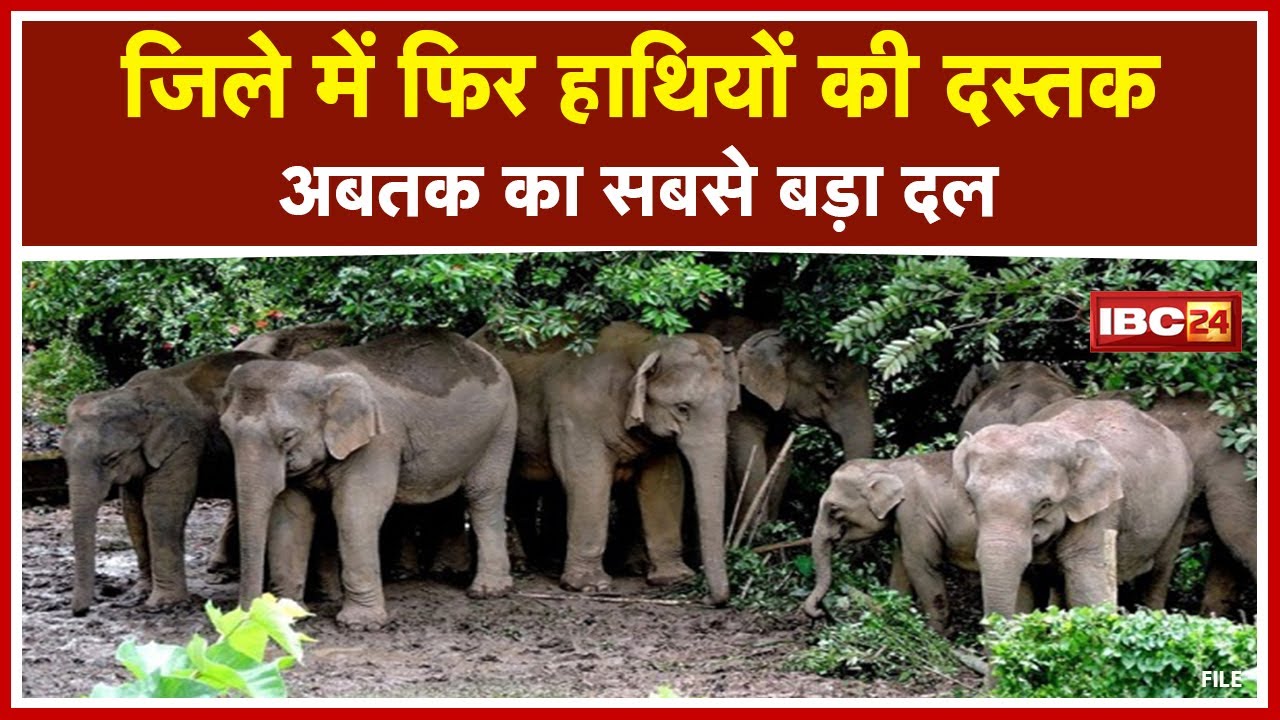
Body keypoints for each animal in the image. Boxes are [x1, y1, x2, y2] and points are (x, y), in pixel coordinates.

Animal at [63, 350, 269, 615]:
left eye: (112, 458)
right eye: (63, 456)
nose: (80, 611)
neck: (137, 396)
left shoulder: (182, 446)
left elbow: (160, 510)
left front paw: (162, 604)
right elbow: (133, 514)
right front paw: (138, 594)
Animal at [219, 328, 517, 629]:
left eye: (288, 437)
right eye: (225, 432)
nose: (244, 618)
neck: (320, 374)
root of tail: (481, 350)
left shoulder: (378, 441)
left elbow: (355, 510)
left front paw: (361, 624)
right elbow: (290, 514)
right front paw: (288, 618)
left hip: (501, 427)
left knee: (482, 494)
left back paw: (487, 591)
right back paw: (443, 574)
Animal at [475, 322, 738, 604]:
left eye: (729, 408)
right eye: (682, 408)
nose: (710, 599)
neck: (645, 345)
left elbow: (665, 483)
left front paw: (674, 578)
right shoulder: (577, 417)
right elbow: (587, 480)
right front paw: (589, 586)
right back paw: (523, 564)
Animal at [703, 315, 875, 527]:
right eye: (830, 385)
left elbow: (781, 459)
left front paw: (769, 529)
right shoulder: (736, 399)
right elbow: (747, 454)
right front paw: (756, 532)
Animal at [954, 399, 1195, 618]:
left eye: (1045, 504)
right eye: (970, 496)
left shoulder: (1103, 509)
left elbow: (1087, 587)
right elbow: (1023, 592)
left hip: (1180, 508)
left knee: (1158, 573)